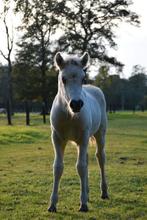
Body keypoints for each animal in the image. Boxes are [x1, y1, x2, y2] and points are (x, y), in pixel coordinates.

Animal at [48, 52, 108, 212]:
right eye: (63, 79)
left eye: (83, 79)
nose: (76, 104)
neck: (70, 115)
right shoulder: (57, 138)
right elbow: (58, 167)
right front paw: (52, 204)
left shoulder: (83, 137)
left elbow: (80, 167)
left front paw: (83, 205)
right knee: (86, 159)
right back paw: (87, 193)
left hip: (99, 134)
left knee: (100, 157)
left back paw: (104, 192)